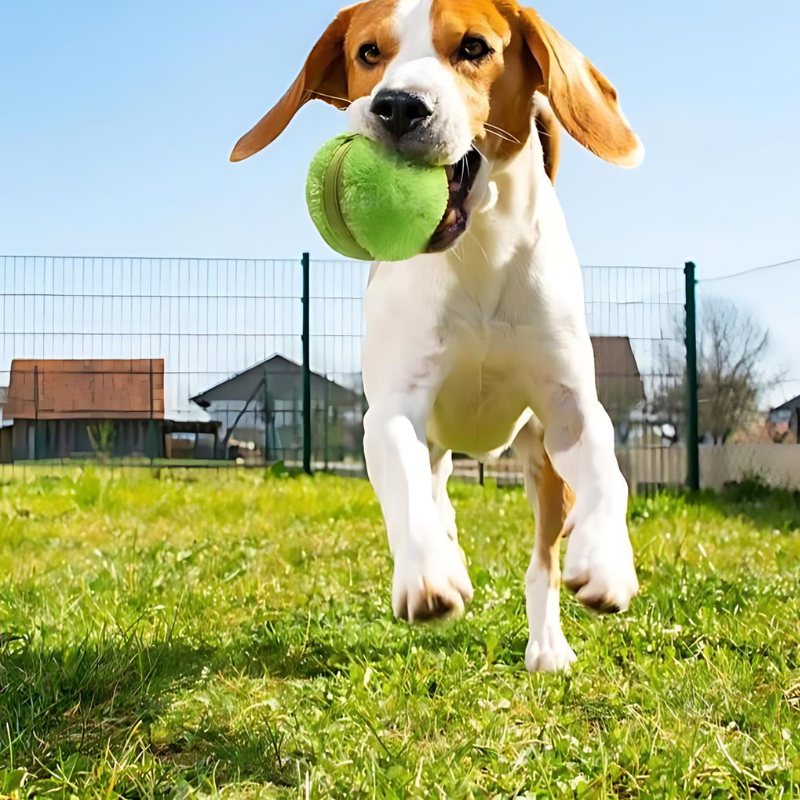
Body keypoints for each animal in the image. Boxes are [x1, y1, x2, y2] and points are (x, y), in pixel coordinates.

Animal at [231, 0, 644, 672]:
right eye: (369, 53)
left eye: (475, 47)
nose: (400, 106)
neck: (479, 253)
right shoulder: (393, 410)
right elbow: (405, 482)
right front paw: (428, 573)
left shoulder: (570, 407)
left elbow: (609, 474)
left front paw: (606, 557)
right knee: (433, 491)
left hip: (539, 460)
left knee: (541, 559)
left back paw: (547, 644)